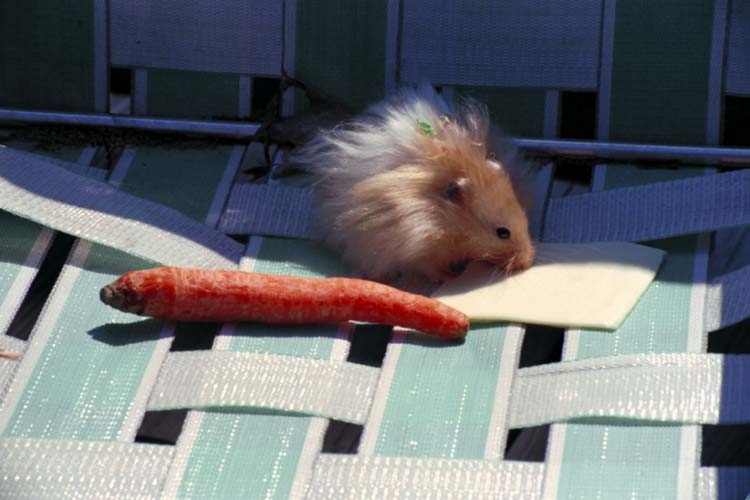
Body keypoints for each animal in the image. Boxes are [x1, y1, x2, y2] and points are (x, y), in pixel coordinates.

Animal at [290, 86, 536, 286]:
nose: (529, 261)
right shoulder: (419, 253)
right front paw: (451, 277)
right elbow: (431, 269)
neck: (449, 224)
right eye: (502, 233)